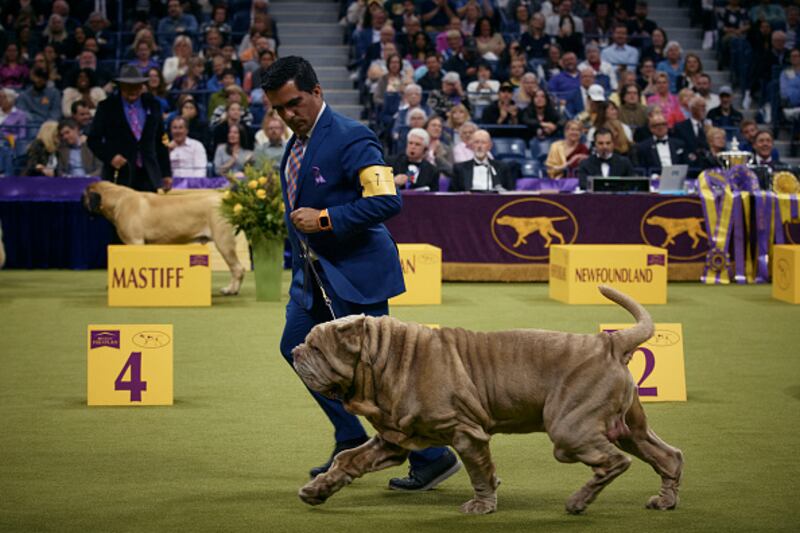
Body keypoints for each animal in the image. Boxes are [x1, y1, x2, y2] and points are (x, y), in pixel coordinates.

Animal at [81, 181, 245, 294]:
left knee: (238, 268)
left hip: (223, 242)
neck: (118, 199)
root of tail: (225, 199)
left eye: (85, 195)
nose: (81, 199)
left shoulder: (135, 242)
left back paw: (231, 290)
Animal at [292, 286, 680, 516]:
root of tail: (610, 342)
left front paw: (482, 504)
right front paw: (317, 489)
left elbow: (479, 471)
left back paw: (578, 501)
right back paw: (665, 500)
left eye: (316, 347)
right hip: (628, 428)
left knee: (613, 461)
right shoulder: (392, 438)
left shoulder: (466, 432)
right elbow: (347, 460)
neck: (387, 358)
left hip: (570, 430)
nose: (295, 351)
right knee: (667, 456)